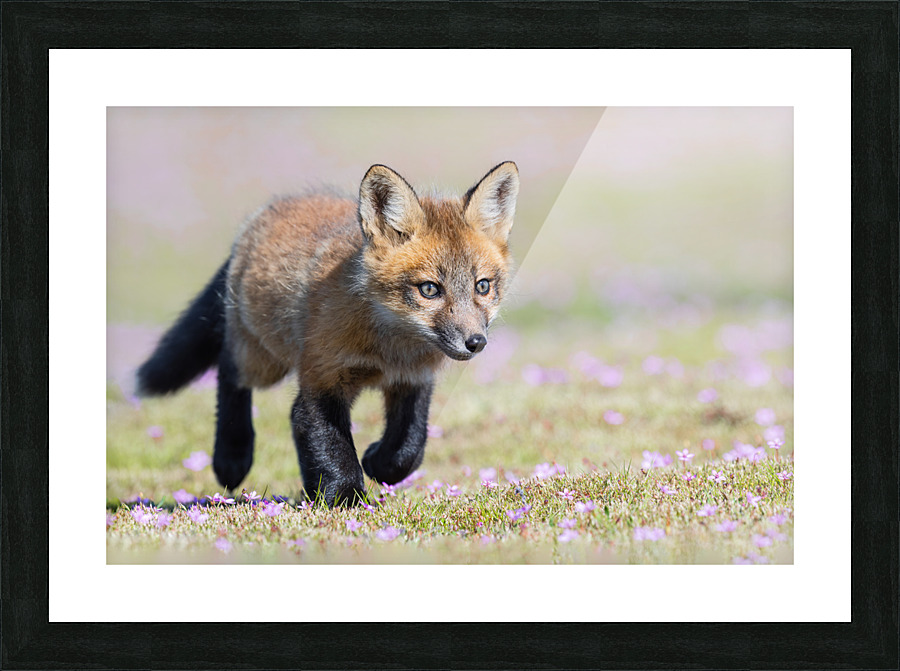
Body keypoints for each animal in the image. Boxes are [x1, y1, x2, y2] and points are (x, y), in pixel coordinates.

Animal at [136, 162, 518, 506]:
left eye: (482, 286)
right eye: (429, 289)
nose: (476, 342)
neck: (388, 351)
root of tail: (264, 214)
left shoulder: (412, 381)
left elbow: (407, 447)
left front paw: (376, 462)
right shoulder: (321, 380)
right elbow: (329, 445)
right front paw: (343, 498)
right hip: (262, 361)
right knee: (228, 372)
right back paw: (232, 457)